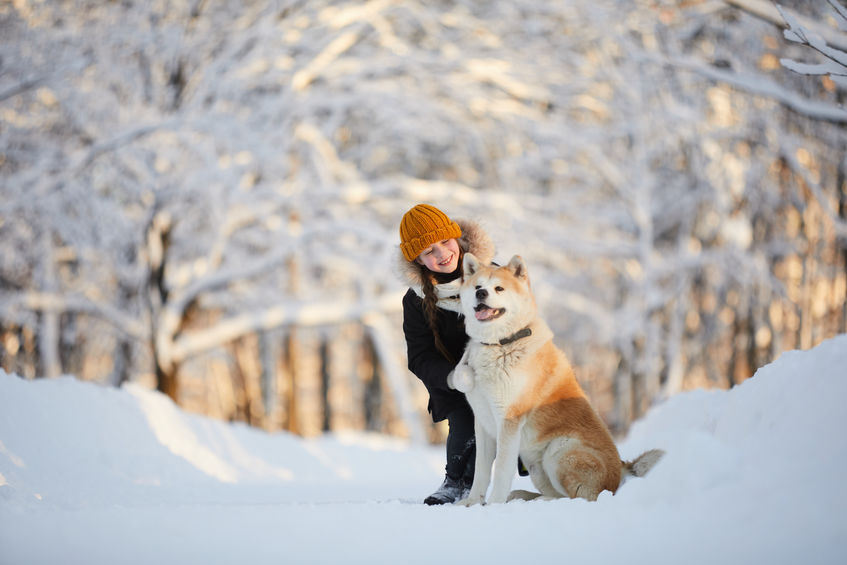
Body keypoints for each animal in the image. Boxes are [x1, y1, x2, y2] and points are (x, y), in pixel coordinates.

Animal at [454, 253, 664, 504]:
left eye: (499, 288)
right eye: (478, 286)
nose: (481, 294)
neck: (501, 345)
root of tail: (620, 469)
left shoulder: (509, 421)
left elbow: (502, 472)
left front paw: (494, 505)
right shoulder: (484, 423)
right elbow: (481, 471)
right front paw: (472, 503)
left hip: (561, 452)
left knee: (580, 497)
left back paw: (535, 500)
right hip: (536, 465)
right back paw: (524, 496)